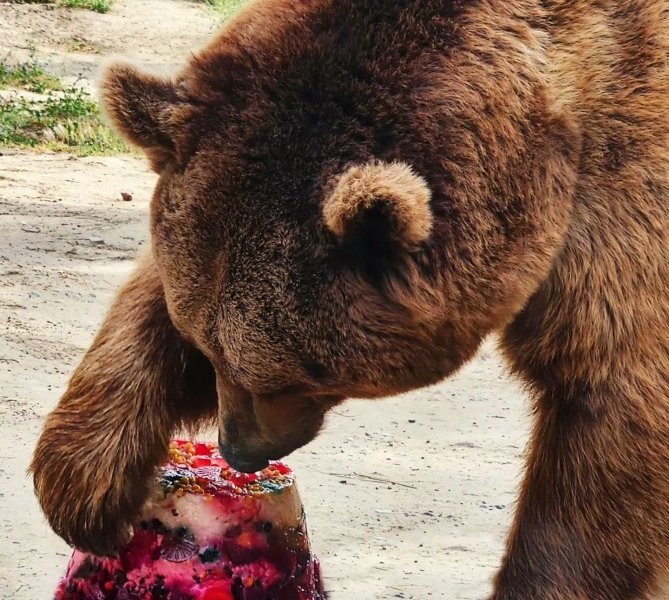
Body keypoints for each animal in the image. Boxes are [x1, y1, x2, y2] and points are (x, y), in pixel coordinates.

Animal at [30, 0, 668, 596]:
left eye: (292, 375)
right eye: (206, 347)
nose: (238, 451)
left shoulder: (623, 196)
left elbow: (603, 410)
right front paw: (87, 488)